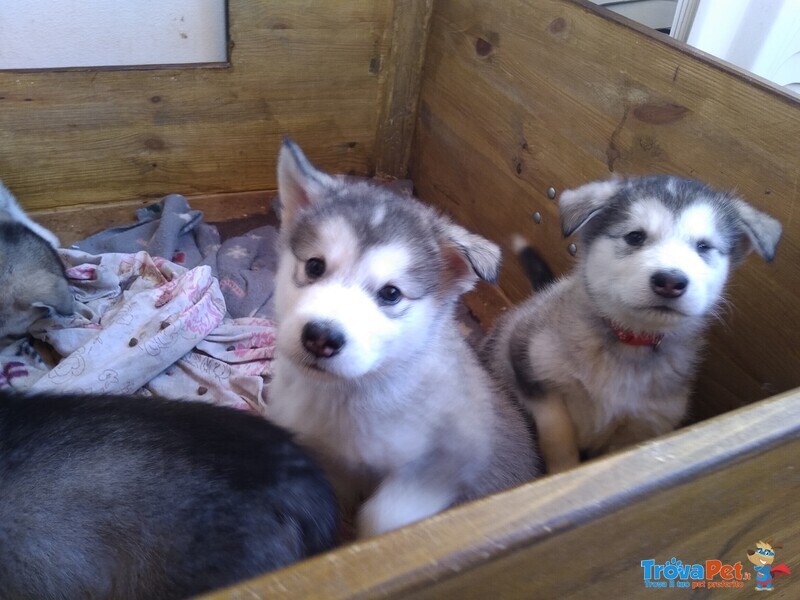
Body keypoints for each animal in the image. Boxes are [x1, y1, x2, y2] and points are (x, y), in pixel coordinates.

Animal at [268, 141, 536, 540]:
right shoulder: (321, 453)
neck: (348, 395)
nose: (320, 338)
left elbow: (382, 516)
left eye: (391, 293)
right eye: (315, 266)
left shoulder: (456, 456)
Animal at [482, 176, 780, 476]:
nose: (670, 282)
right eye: (635, 236)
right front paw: (562, 471)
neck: (629, 341)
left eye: (704, 247)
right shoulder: (530, 369)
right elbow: (558, 435)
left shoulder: (644, 426)